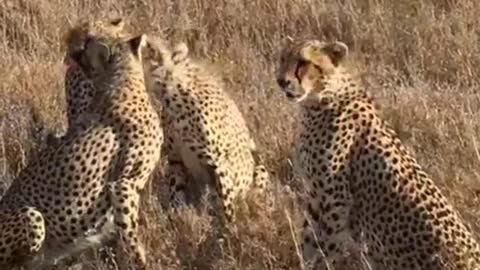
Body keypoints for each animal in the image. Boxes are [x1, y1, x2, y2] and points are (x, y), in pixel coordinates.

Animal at [0, 30, 163, 268]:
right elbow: (130, 237)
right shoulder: (123, 184)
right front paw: (140, 262)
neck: (123, 79)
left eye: (86, 50)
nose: (73, 54)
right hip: (32, 216)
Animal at [142, 37, 270, 224]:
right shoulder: (175, 158)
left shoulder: (220, 162)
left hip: (258, 165)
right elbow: (176, 192)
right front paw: (177, 217)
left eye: (151, 48)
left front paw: (230, 228)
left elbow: (228, 204)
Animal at [276, 38, 480, 270]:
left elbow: (320, 245)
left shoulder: (333, 201)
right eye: (282, 59)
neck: (324, 96)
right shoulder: (316, 196)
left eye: (303, 62)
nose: (281, 81)